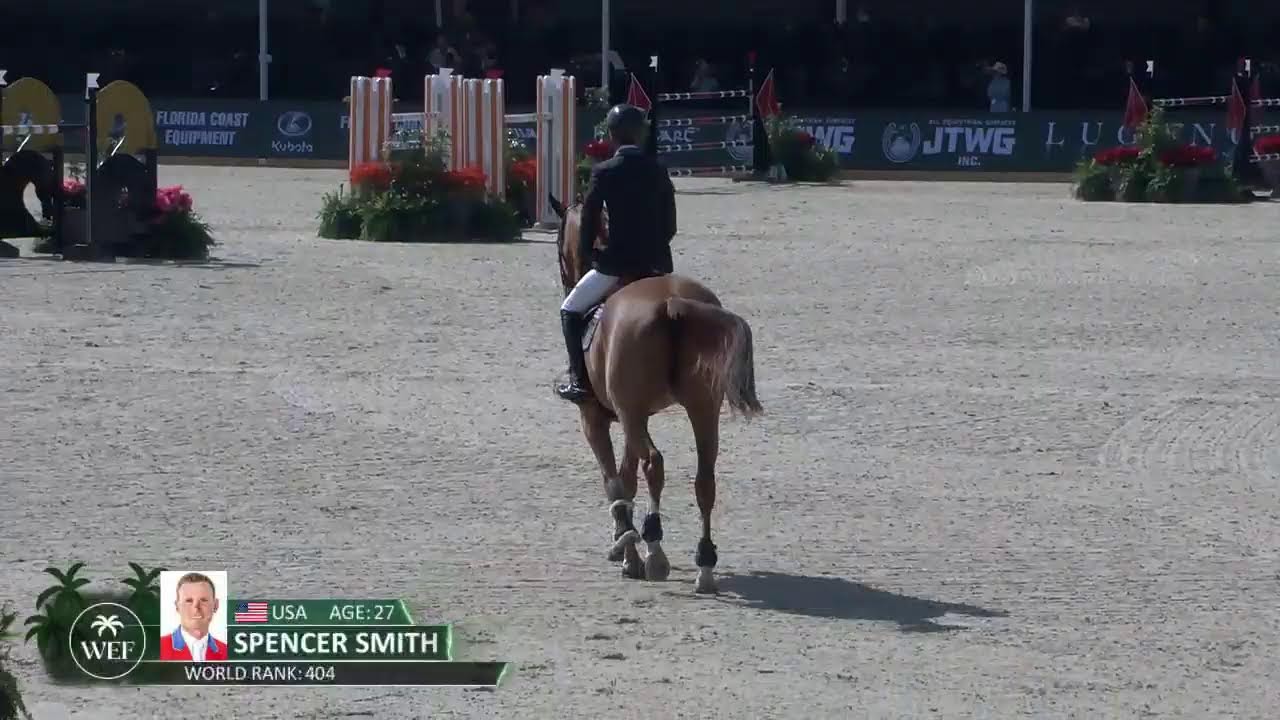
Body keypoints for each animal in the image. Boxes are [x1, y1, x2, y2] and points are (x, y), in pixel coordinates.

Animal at [548, 193, 763, 594]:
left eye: (557, 246)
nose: (566, 278)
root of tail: (672, 303)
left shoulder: (596, 418)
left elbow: (615, 483)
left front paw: (627, 550)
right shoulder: (636, 416)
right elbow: (627, 479)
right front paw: (627, 544)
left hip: (633, 413)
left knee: (655, 463)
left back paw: (656, 552)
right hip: (702, 407)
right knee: (705, 478)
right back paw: (704, 567)